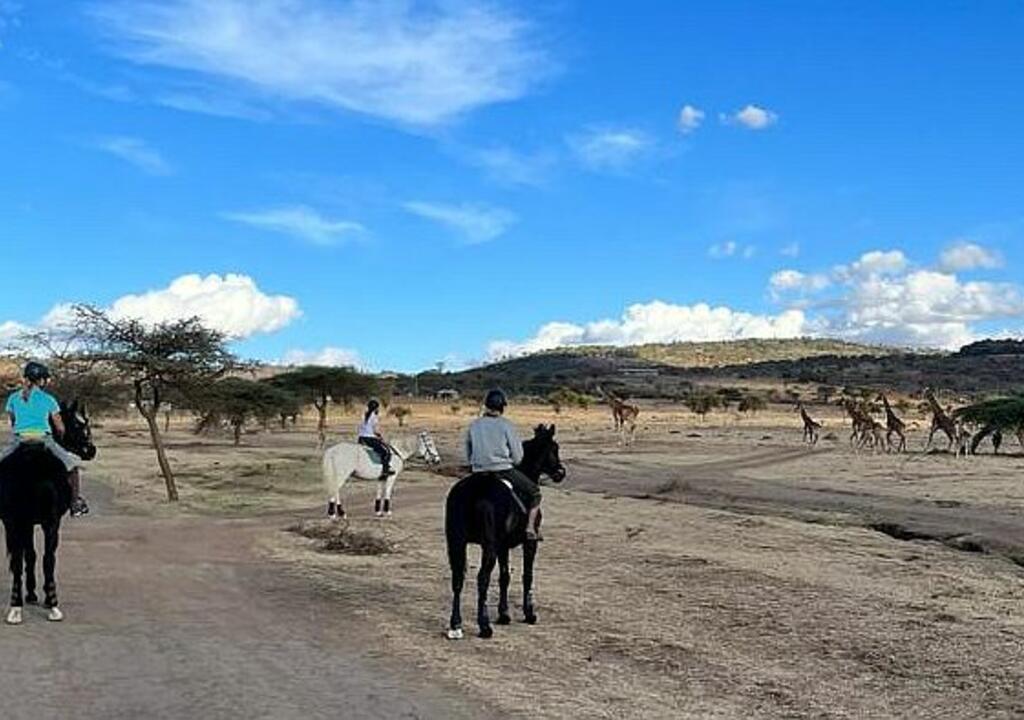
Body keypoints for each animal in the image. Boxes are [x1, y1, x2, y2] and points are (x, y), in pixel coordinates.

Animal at [0, 399, 95, 626]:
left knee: (18, 561)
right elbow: (43, 558)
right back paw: (52, 604)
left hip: (15, 521)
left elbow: (30, 555)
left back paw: (16, 607)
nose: (91, 450)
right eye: (78, 424)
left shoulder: (24, 523)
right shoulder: (50, 522)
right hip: (47, 523)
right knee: (48, 559)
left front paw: (31, 594)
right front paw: (41, 597)